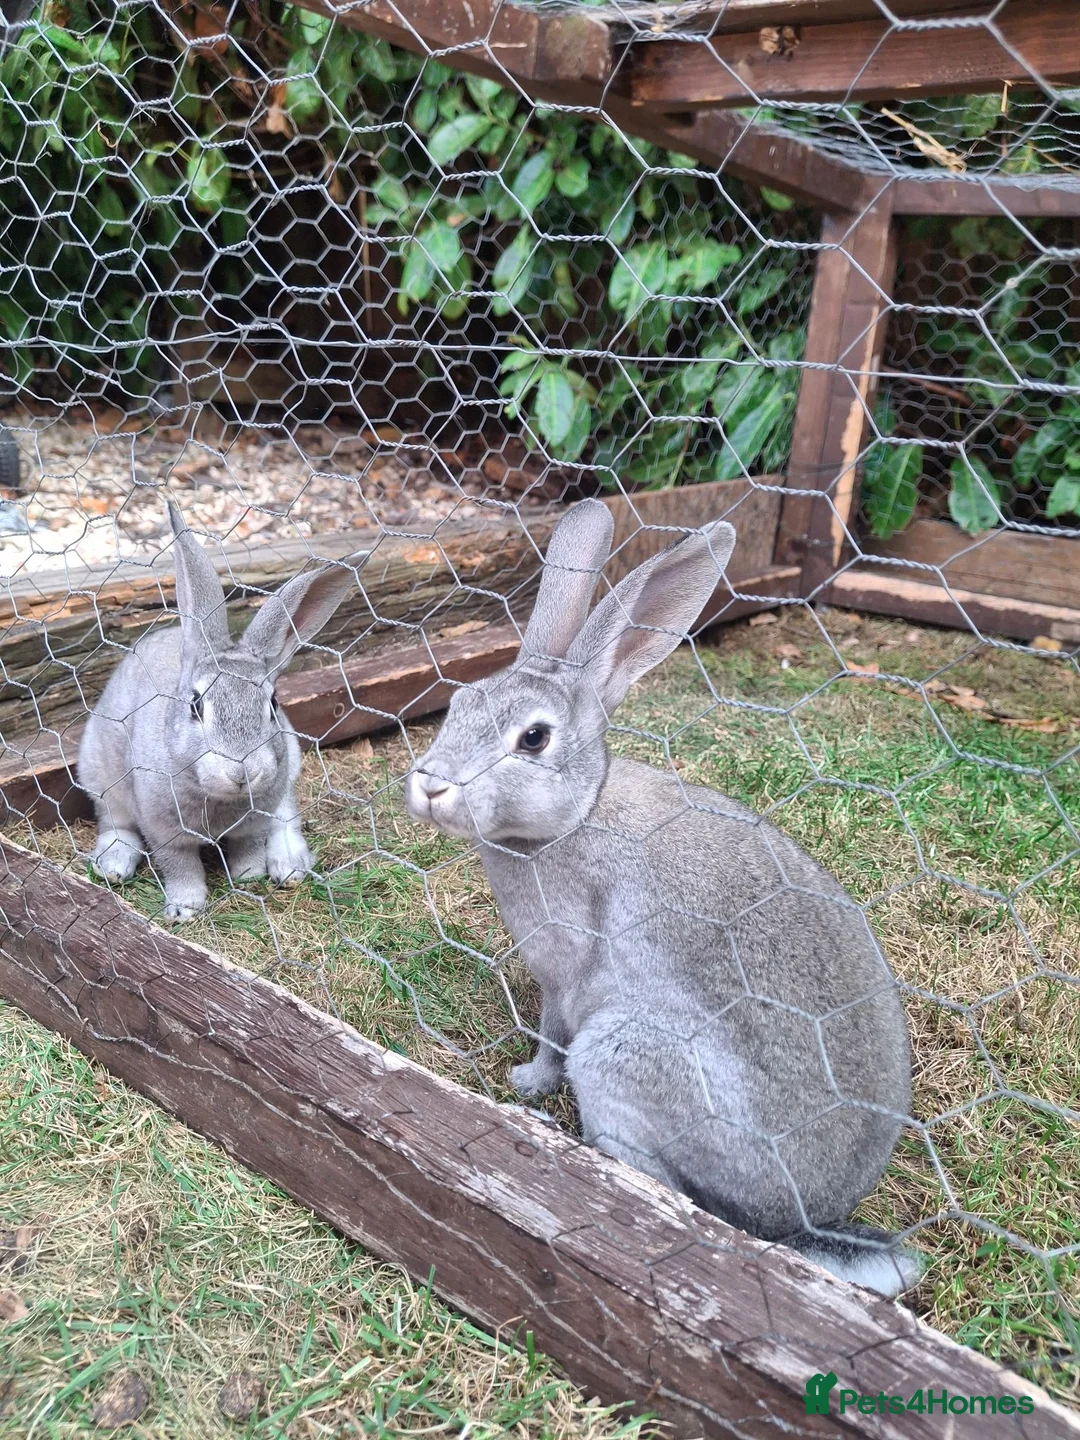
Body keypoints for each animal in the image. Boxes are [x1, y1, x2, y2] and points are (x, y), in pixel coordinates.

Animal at [77, 502, 357, 921]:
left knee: (287, 814)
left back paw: (289, 865)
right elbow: (180, 865)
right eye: (196, 705)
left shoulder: (254, 821)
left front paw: (249, 877)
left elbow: (249, 846)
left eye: (273, 705)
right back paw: (113, 866)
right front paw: (184, 909)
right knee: (114, 822)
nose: (242, 770)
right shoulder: (165, 832)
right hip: (97, 774)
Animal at [406, 499, 921, 1298]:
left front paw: (528, 1082)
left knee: (661, 1184)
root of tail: (799, 1219)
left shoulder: (567, 980)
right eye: (457, 703)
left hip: (622, 1055)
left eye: (533, 739)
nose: (430, 785)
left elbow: (552, 1034)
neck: (576, 818)